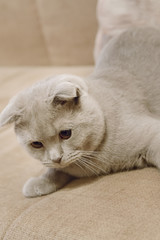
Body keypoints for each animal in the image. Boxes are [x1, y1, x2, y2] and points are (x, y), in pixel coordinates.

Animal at [0, 27, 160, 198]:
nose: (57, 158)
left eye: (65, 134)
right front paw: (39, 183)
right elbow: (56, 171)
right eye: (36, 144)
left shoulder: (153, 133)